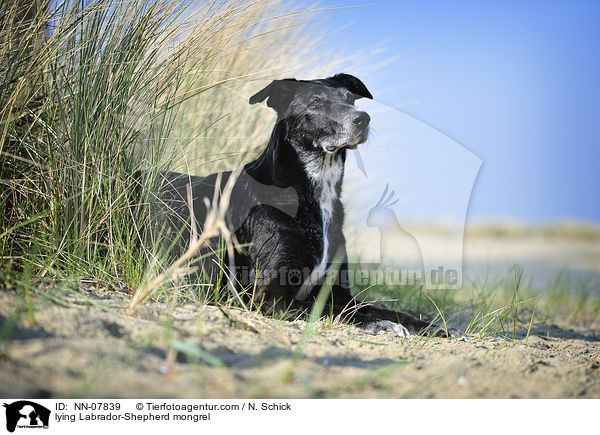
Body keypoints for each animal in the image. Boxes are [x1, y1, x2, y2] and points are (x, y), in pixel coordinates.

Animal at [157, 73, 458, 338]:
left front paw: (435, 327)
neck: (316, 193)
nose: (363, 119)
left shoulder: (339, 290)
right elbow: (329, 309)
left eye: (350, 99)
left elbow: (385, 309)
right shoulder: (267, 295)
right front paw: (382, 325)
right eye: (316, 102)